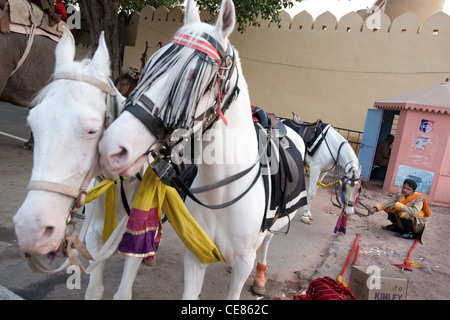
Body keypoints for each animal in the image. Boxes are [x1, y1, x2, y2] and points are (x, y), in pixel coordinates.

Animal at [99, 0, 310, 300]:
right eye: (150, 65)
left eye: (194, 79)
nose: (112, 147)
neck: (223, 191)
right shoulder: (196, 254)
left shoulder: (243, 260)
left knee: (267, 242)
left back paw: (260, 278)